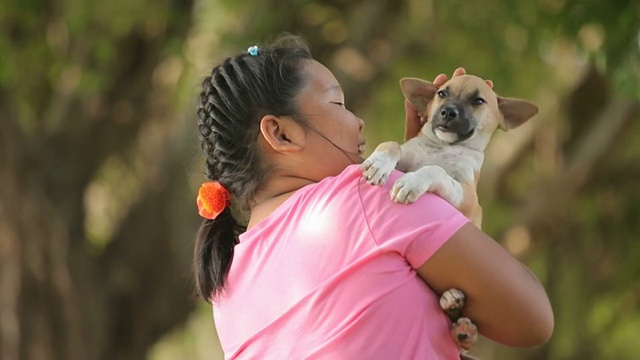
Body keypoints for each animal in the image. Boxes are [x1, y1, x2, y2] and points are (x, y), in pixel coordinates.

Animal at [362, 73, 536, 354]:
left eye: (478, 101)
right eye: (442, 93)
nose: (447, 112)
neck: (441, 148)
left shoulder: (465, 195)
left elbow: (435, 170)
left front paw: (412, 183)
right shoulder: (406, 152)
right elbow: (392, 145)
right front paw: (378, 164)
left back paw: (454, 304)